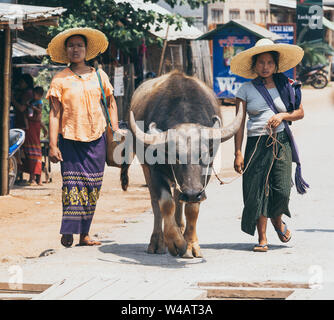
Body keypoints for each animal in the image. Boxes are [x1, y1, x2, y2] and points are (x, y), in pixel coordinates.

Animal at [120, 70, 243, 258]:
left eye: (203, 155)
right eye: (175, 156)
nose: (191, 193)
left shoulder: (203, 179)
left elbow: (191, 209)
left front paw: (190, 244)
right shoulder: (155, 171)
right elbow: (165, 203)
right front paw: (175, 242)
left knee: (178, 197)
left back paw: (180, 227)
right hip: (146, 168)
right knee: (156, 202)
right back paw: (157, 242)